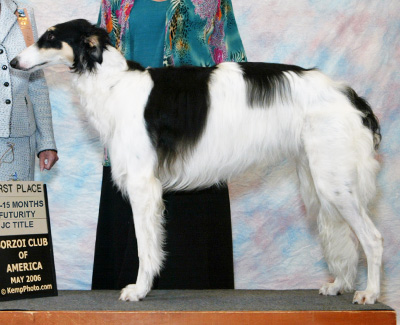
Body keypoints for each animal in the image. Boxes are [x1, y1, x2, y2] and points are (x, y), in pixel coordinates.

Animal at [10, 19, 382, 302]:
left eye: (50, 38)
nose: (13, 62)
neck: (114, 84)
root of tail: (349, 95)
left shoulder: (143, 185)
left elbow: (146, 247)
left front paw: (138, 290)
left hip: (334, 182)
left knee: (373, 239)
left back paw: (369, 293)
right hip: (321, 179)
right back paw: (340, 285)